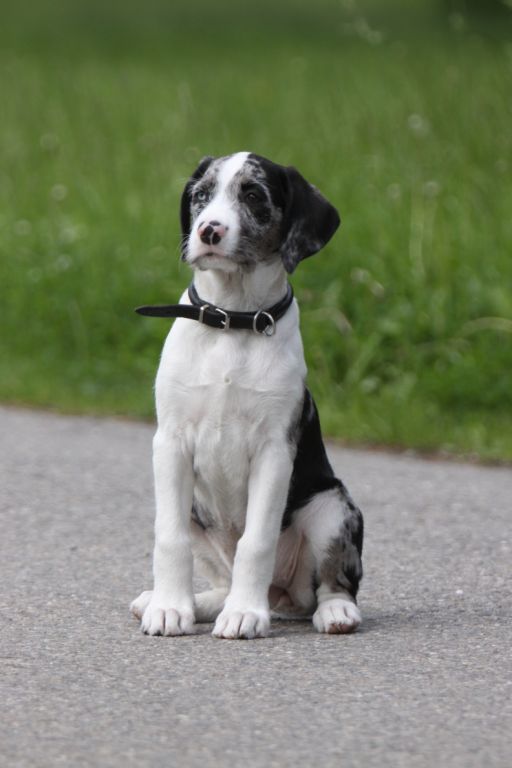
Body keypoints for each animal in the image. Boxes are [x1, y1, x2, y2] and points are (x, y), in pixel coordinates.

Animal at [132, 153, 364, 640]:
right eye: (201, 195)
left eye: (254, 195)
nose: (208, 231)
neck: (231, 319)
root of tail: (280, 596)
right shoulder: (171, 443)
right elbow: (168, 537)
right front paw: (170, 607)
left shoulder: (275, 451)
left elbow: (256, 542)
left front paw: (244, 614)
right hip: (198, 515)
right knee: (219, 579)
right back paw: (184, 601)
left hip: (333, 506)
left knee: (332, 583)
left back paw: (333, 611)